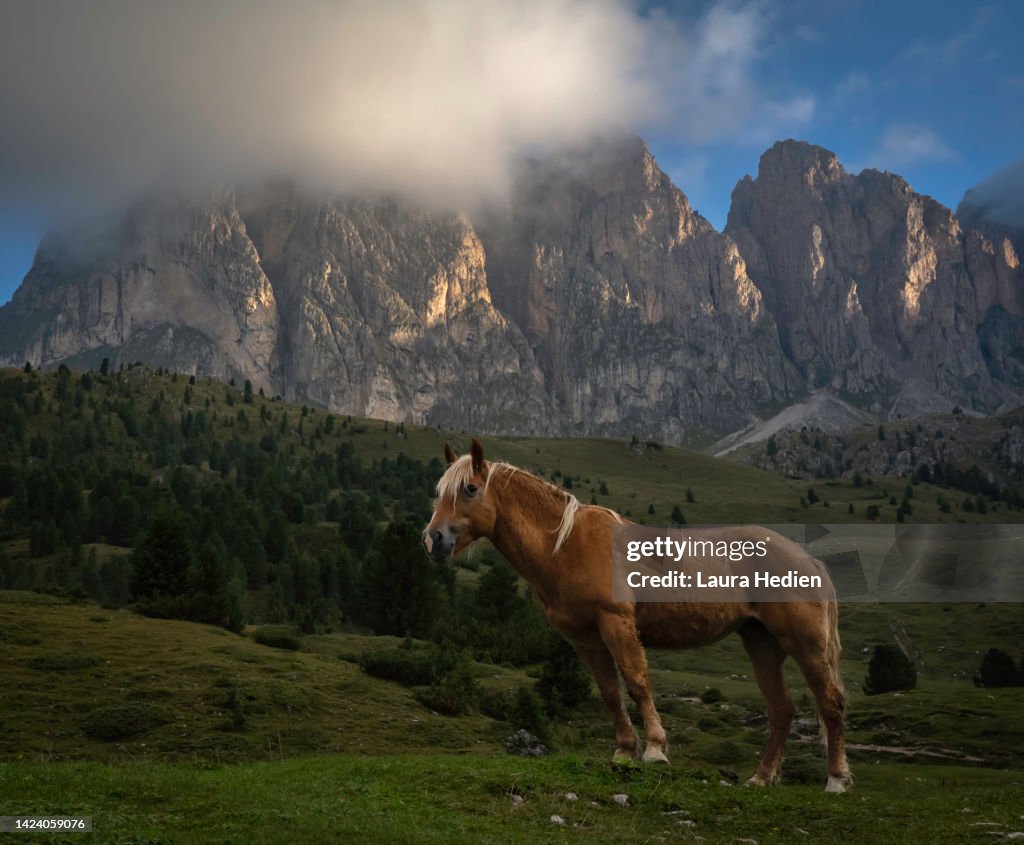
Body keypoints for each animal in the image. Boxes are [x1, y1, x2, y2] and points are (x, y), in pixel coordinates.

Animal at [423, 439, 852, 793]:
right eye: (439, 493)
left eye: (470, 489)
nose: (433, 540)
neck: (566, 545)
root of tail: (807, 559)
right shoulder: (587, 640)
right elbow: (611, 694)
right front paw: (625, 752)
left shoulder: (617, 625)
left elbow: (637, 683)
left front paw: (655, 750)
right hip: (762, 644)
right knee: (782, 712)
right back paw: (761, 778)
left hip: (804, 644)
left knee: (830, 702)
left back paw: (835, 780)